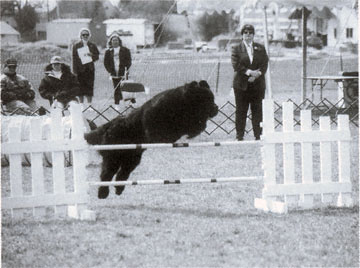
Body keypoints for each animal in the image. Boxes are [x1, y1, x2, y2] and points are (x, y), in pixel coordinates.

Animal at [86, 80, 218, 198]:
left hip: (132, 158)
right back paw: (103, 193)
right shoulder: (156, 124)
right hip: (113, 156)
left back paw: (119, 189)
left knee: (122, 174)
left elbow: (194, 124)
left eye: (212, 99)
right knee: (106, 174)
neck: (181, 103)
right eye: (207, 100)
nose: (216, 108)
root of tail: (108, 126)